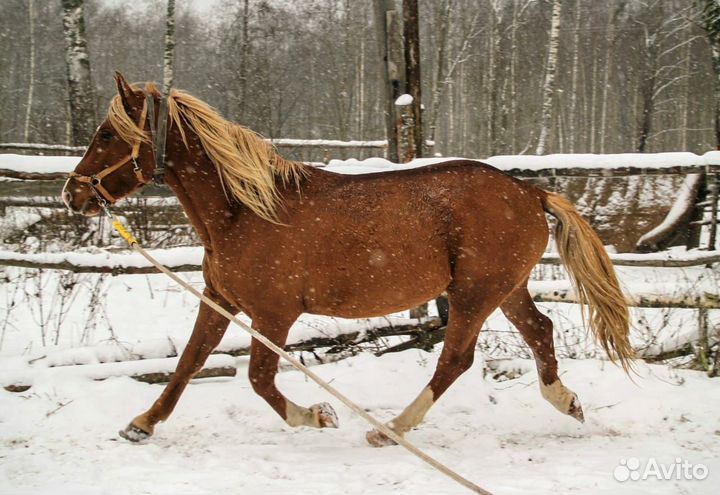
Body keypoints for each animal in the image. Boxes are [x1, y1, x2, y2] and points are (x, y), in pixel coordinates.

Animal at [62, 73, 633, 446]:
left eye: (107, 133)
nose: (73, 194)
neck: (244, 210)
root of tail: (530, 192)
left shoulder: (274, 313)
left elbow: (259, 378)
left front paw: (318, 416)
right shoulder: (218, 298)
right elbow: (188, 362)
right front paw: (141, 423)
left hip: (474, 294)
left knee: (456, 359)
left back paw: (390, 430)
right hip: (505, 289)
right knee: (540, 330)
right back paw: (568, 402)